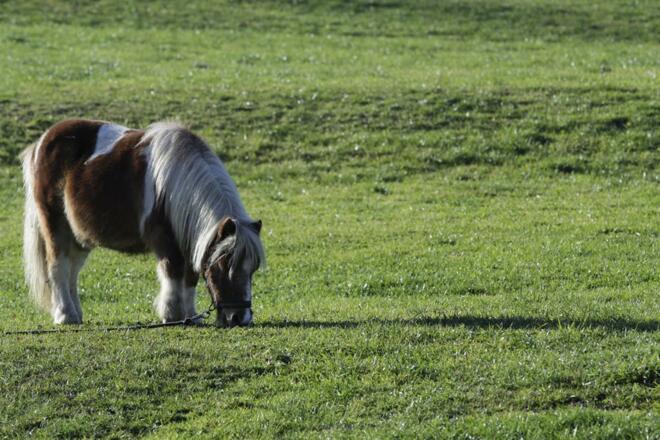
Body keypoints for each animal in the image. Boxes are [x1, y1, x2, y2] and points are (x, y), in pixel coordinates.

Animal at [22, 119, 264, 327]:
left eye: (252, 269)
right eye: (224, 264)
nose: (239, 318)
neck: (173, 185)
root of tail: (42, 141)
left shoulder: (189, 238)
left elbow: (190, 278)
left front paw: (191, 316)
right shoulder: (165, 242)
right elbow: (172, 274)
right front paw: (171, 315)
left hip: (79, 236)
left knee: (72, 271)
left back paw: (75, 313)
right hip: (56, 226)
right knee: (58, 267)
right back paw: (65, 315)